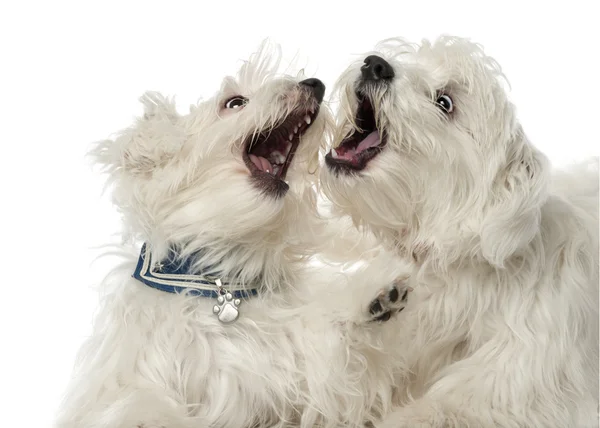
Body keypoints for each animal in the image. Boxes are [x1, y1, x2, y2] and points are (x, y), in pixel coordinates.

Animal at [55, 44, 412, 428]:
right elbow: (140, 405)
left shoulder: (305, 376)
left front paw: (374, 296)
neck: (223, 282)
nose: (314, 84)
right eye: (235, 102)